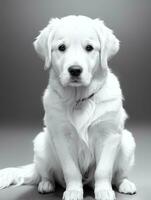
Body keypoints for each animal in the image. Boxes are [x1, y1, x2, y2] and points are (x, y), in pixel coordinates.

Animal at [0, 16, 136, 200]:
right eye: (61, 47)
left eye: (89, 48)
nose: (75, 70)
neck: (79, 99)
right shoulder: (62, 137)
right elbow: (71, 170)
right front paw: (73, 191)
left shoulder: (109, 135)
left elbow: (103, 170)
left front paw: (104, 191)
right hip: (41, 144)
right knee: (46, 174)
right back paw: (46, 185)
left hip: (127, 142)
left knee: (120, 175)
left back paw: (125, 184)